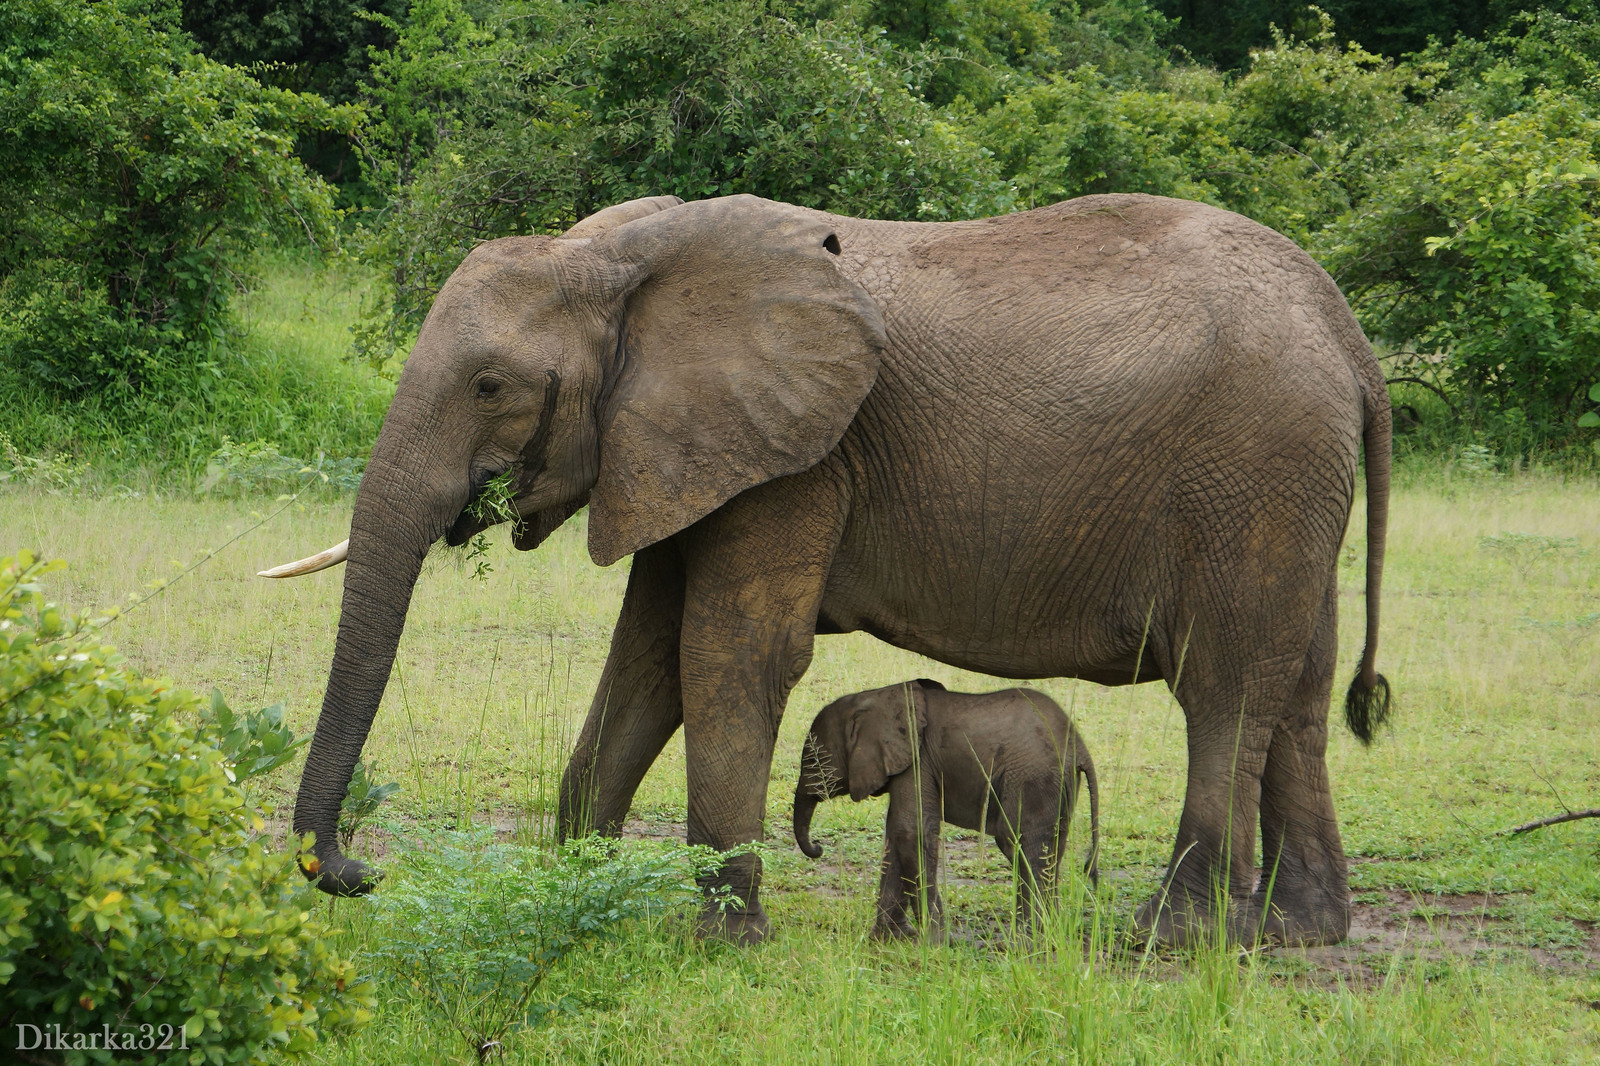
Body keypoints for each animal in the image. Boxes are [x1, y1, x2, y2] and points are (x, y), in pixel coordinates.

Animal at [790, 675, 1094, 934]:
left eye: (813, 758)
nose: (817, 848)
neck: (874, 697)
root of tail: (1079, 745)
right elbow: (897, 835)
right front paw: (892, 939)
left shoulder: (917, 760)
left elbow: (909, 831)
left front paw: (935, 941)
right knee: (1050, 848)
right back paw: (1048, 934)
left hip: (1032, 778)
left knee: (1021, 845)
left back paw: (1028, 940)